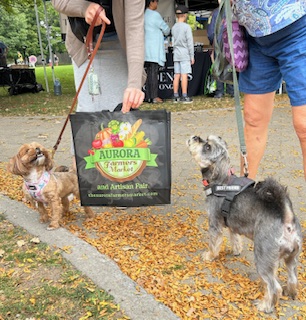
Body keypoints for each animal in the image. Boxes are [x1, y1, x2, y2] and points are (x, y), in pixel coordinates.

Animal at [186, 134, 302, 312]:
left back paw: (265, 305)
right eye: (206, 139)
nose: (195, 137)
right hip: (292, 258)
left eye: (207, 147)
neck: (221, 181)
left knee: (274, 287)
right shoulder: (233, 224)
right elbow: (235, 238)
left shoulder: (214, 224)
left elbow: (214, 243)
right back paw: (291, 292)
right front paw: (236, 250)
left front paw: (209, 256)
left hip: (263, 257)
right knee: (292, 277)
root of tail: (286, 218)